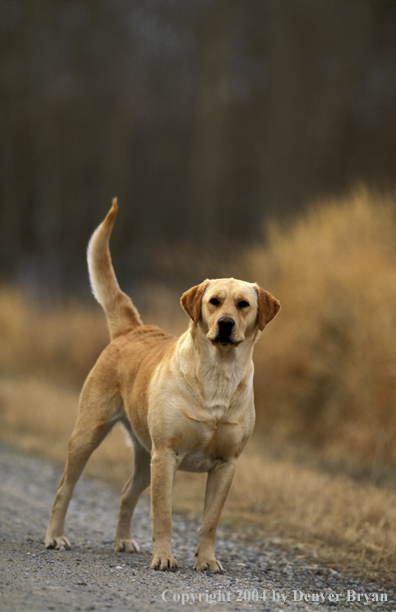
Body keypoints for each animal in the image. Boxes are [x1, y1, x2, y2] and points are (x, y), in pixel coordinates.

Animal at [44, 201, 280, 572]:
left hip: (145, 455)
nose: (225, 324)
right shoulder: (167, 454)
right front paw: (165, 558)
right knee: (64, 488)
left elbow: (210, 521)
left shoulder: (227, 464)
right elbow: (163, 513)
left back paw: (123, 541)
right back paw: (55, 537)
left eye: (244, 304)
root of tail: (132, 329)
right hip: (90, 434)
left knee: (127, 492)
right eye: (214, 301)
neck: (218, 374)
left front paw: (207, 561)